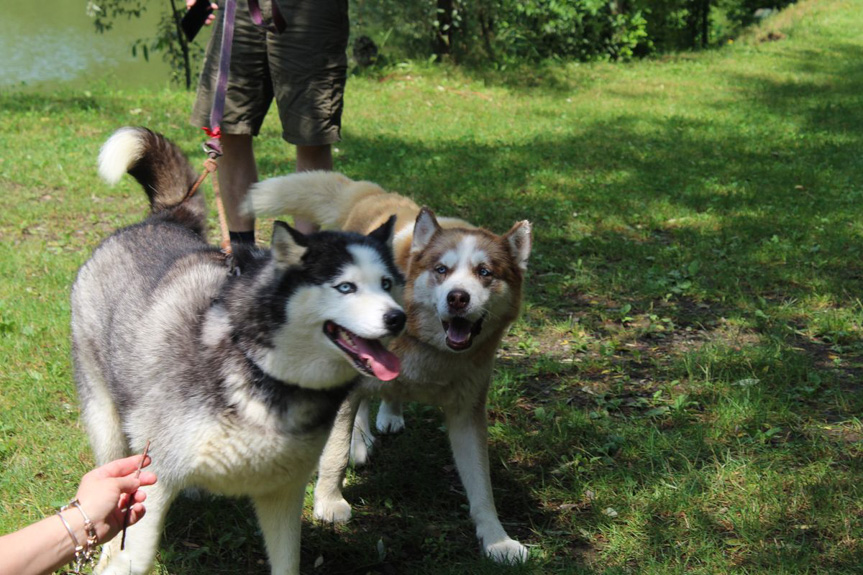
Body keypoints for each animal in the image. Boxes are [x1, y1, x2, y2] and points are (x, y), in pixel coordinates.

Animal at [243, 172, 532, 564]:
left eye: (485, 272)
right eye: (441, 270)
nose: (458, 297)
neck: (429, 347)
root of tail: (370, 193)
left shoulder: (468, 412)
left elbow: (481, 485)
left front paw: (497, 539)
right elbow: (334, 453)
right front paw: (329, 501)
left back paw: (389, 414)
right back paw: (361, 439)